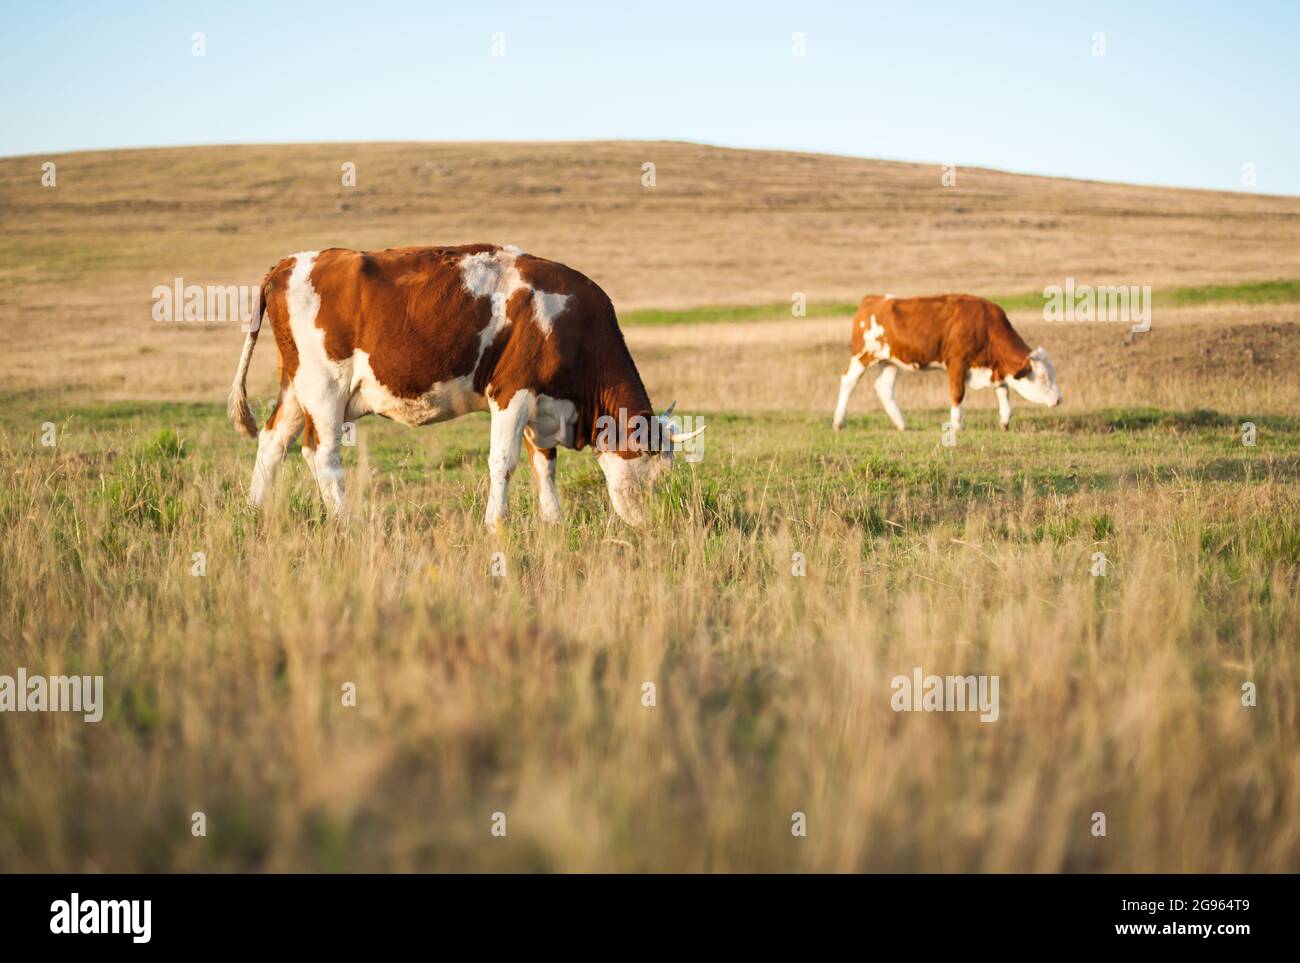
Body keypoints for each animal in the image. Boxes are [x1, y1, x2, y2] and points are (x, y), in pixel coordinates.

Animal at [227, 245, 703, 526]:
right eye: (658, 471)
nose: (650, 524)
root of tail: (290, 263)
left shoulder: (540, 404)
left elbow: (544, 464)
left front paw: (553, 521)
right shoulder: (512, 391)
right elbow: (504, 461)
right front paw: (497, 524)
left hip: (295, 386)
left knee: (272, 440)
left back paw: (253, 509)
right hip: (325, 387)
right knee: (321, 453)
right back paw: (346, 521)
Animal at [831, 294, 1061, 432]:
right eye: (1043, 377)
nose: (1059, 399)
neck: (985, 326)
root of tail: (874, 299)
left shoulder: (995, 368)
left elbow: (1003, 391)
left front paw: (1004, 422)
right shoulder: (957, 362)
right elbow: (957, 393)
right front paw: (956, 424)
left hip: (890, 361)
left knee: (884, 388)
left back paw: (902, 424)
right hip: (863, 355)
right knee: (848, 381)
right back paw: (838, 422)